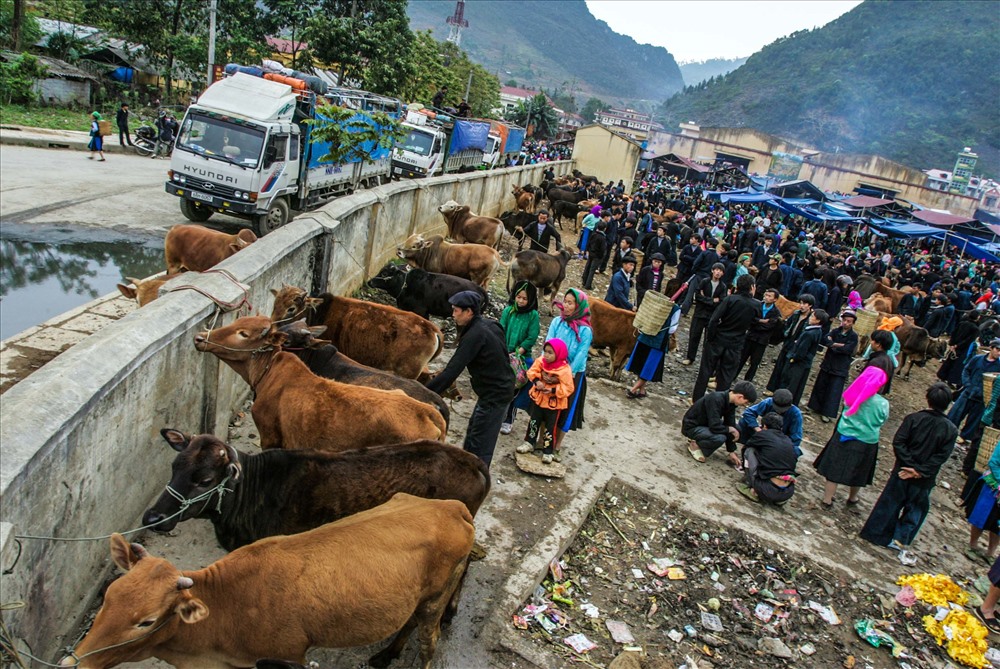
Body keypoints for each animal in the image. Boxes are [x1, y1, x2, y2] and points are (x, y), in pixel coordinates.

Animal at [64, 490, 474, 668]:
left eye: (146, 621)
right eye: (108, 597)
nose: (73, 663)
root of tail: (452, 506)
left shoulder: (287, 657)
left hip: (437, 599)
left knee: (429, 642)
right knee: (407, 623)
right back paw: (384, 655)